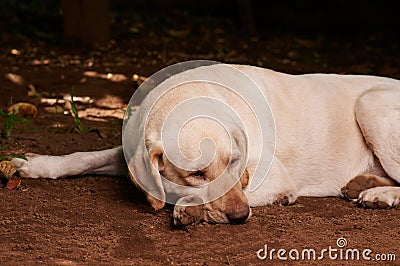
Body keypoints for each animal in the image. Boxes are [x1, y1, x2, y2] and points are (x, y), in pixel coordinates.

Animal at [10, 63, 400, 225]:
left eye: (235, 162)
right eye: (196, 173)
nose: (240, 216)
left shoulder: (275, 178)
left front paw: (188, 206)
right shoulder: (133, 152)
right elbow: (83, 158)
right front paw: (34, 164)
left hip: (371, 104)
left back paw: (380, 195)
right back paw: (363, 184)